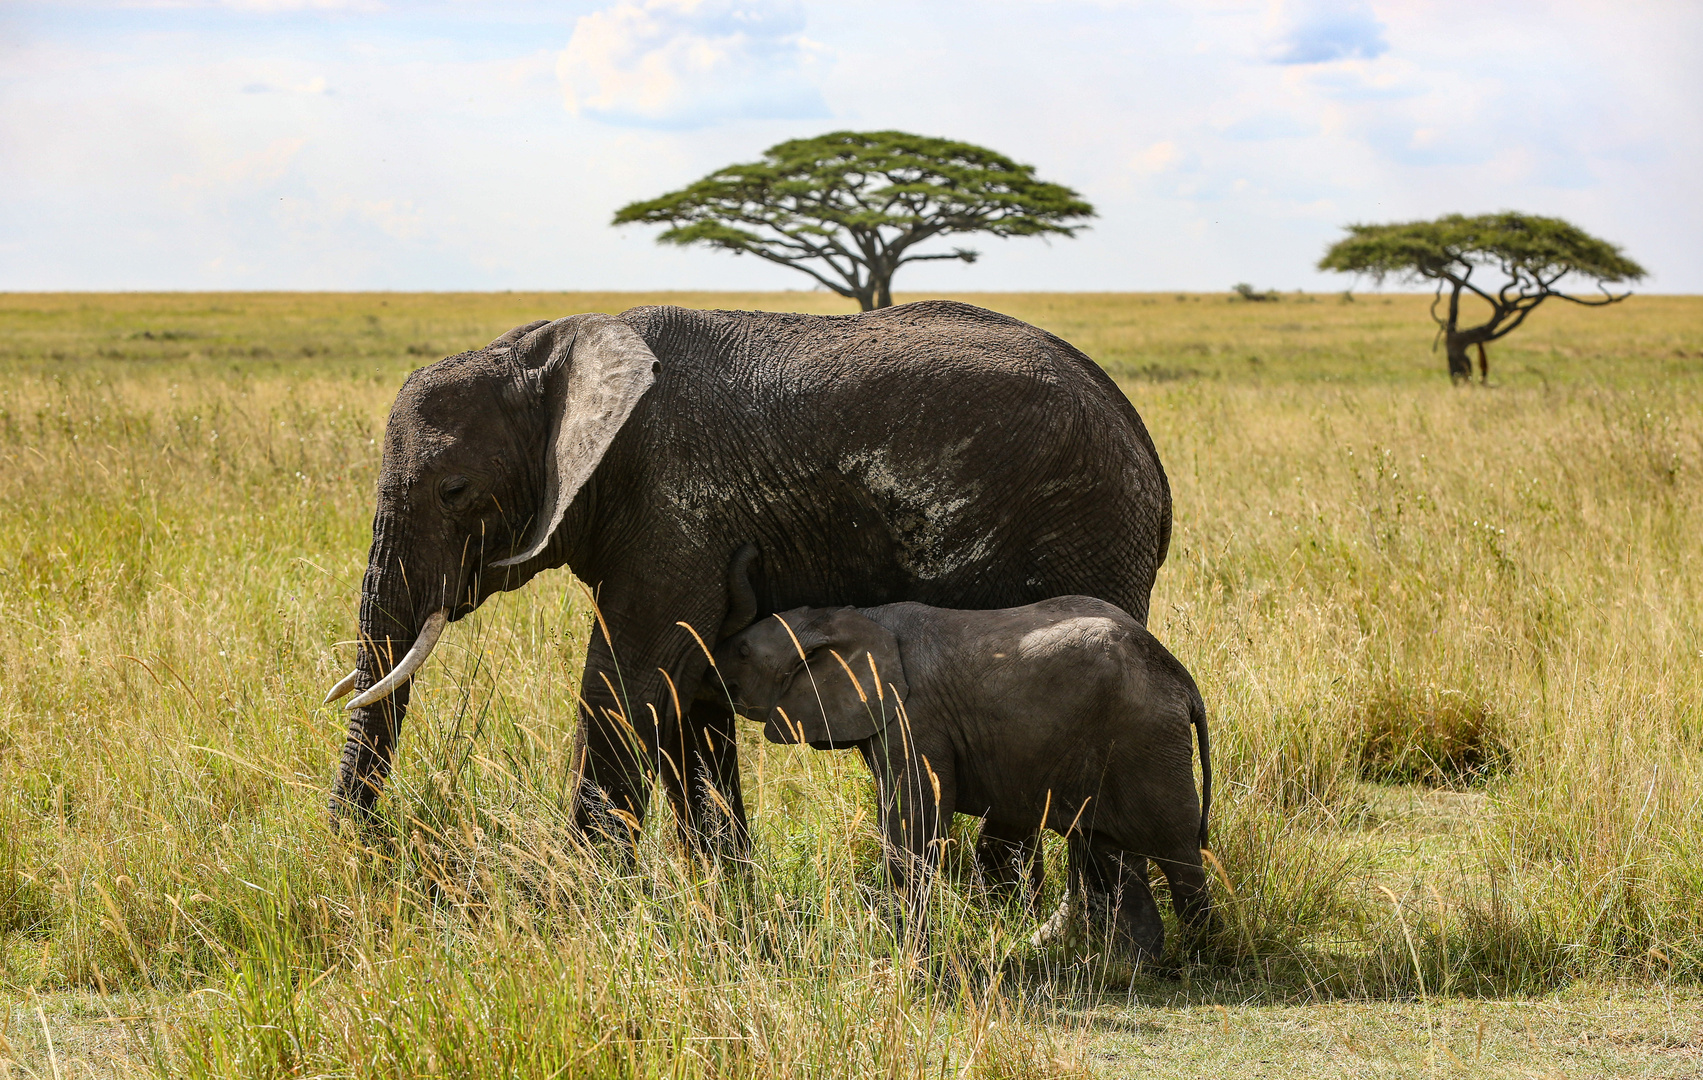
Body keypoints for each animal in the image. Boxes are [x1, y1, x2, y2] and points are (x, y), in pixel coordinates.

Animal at [321, 298, 1171, 855]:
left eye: (454, 491)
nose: (355, 856)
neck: (544, 352)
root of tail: (1141, 442)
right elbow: (686, 696)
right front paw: (720, 898)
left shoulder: (675, 507)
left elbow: (624, 682)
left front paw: (581, 902)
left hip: (1083, 528)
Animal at [705, 596, 1212, 960]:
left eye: (744, 651)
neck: (847, 617)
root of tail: (1183, 682)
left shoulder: (915, 717)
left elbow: (914, 826)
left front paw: (905, 959)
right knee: (1111, 853)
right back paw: (1131, 966)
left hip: (1146, 743)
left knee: (1178, 853)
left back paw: (1197, 957)